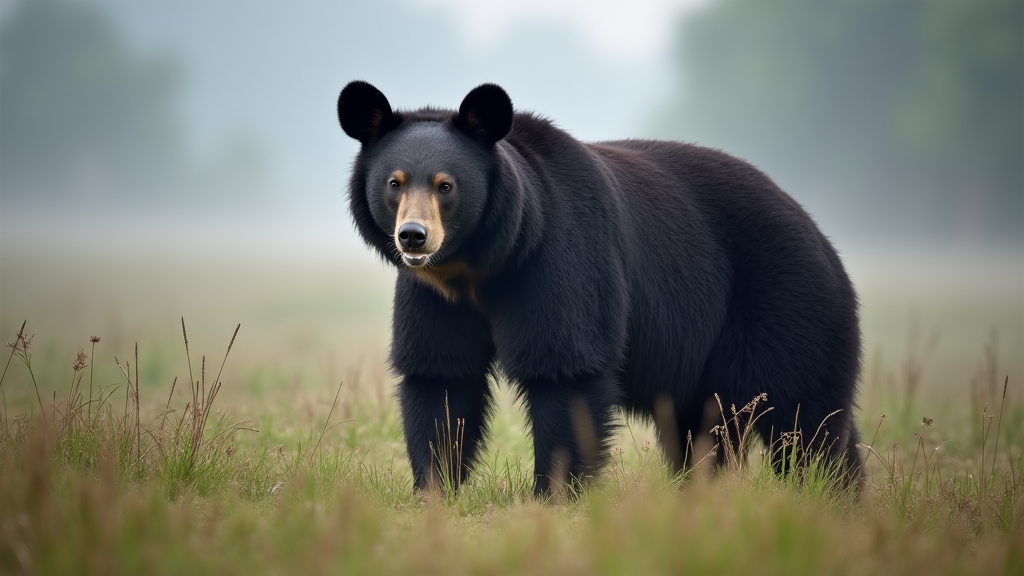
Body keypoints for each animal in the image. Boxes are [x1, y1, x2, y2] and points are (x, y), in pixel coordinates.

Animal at [337, 80, 864, 494]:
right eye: (394, 183)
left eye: (445, 185)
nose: (414, 237)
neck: (479, 265)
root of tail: (821, 237)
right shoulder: (433, 297)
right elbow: (440, 378)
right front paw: (434, 487)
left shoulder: (562, 260)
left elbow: (566, 369)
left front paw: (551, 493)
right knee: (710, 428)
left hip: (786, 305)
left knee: (802, 415)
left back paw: (825, 491)